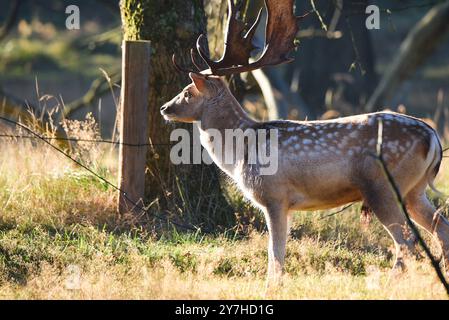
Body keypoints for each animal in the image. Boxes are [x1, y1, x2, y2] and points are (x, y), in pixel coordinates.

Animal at [159, 0, 446, 284]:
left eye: (187, 92)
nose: (164, 108)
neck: (241, 151)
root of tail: (432, 137)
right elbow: (277, 253)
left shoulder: (273, 195)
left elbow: (275, 254)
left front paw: (271, 287)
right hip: (415, 189)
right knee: (441, 227)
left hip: (382, 186)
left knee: (407, 241)